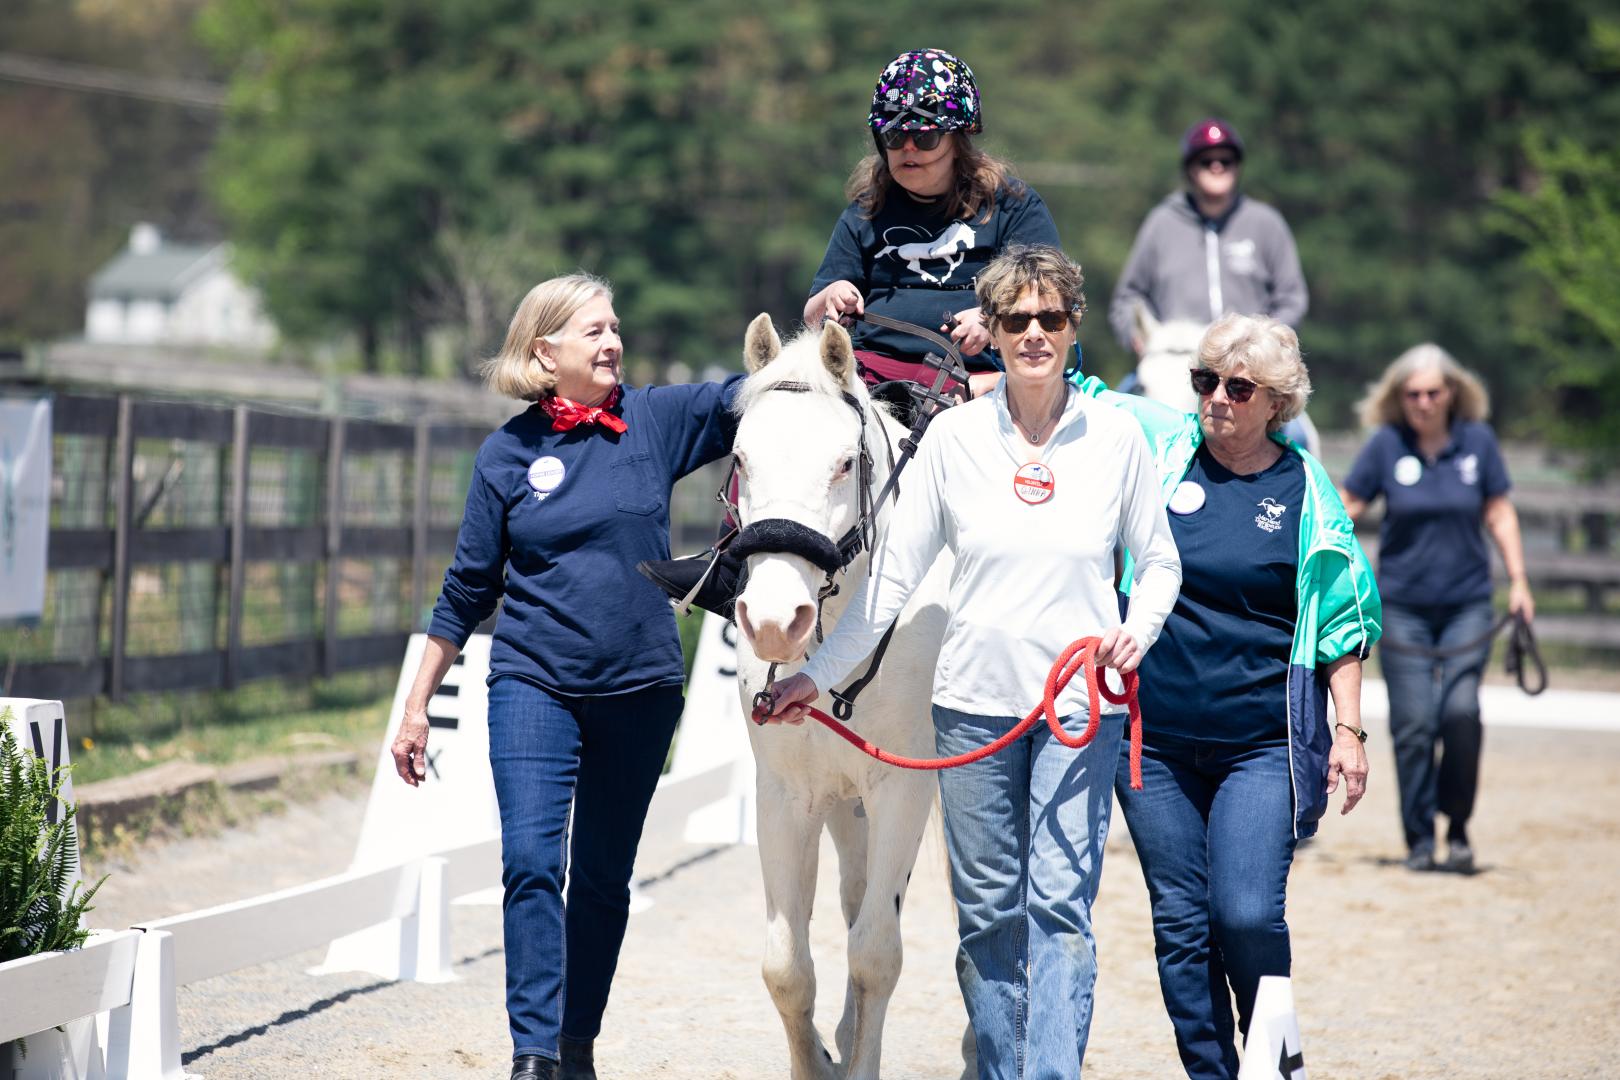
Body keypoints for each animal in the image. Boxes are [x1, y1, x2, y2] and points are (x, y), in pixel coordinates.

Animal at [732, 312, 946, 1080]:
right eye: (742, 459)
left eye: (843, 464)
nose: (773, 621)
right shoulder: (786, 793)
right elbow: (787, 968)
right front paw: (821, 1059)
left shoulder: (904, 787)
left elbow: (877, 954)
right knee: (855, 900)